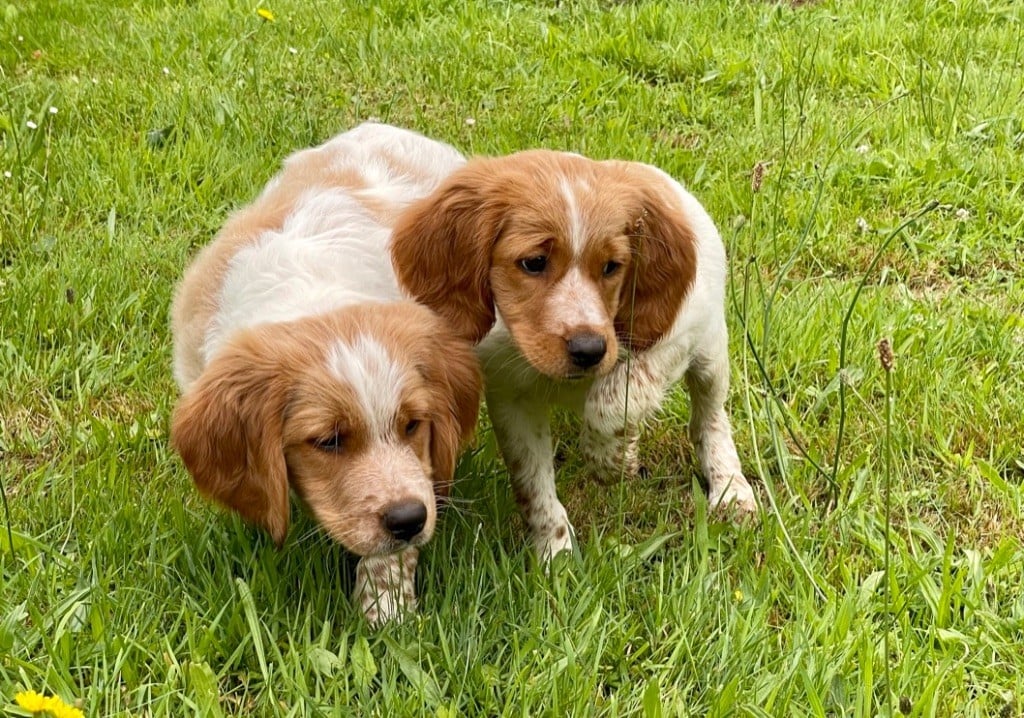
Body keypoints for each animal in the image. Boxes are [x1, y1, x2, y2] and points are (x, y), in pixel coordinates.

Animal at [387, 147, 757, 561]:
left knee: (710, 418)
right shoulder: (512, 398)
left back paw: (731, 489)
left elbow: (614, 399)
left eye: (612, 267)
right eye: (534, 262)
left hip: (711, 353)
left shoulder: (675, 336)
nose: (589, 350)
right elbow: (532, 480)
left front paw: (611, 461)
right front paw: (555, 552)